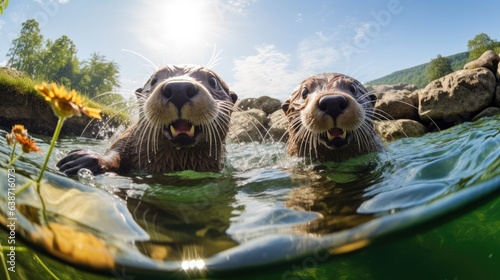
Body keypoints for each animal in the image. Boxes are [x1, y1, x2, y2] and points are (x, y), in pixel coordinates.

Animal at [57, 65, 237, 175]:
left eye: (213, 81)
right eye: (153, 80)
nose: (179, 88)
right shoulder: (128, 137)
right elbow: (115, 153)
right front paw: (84, 160)